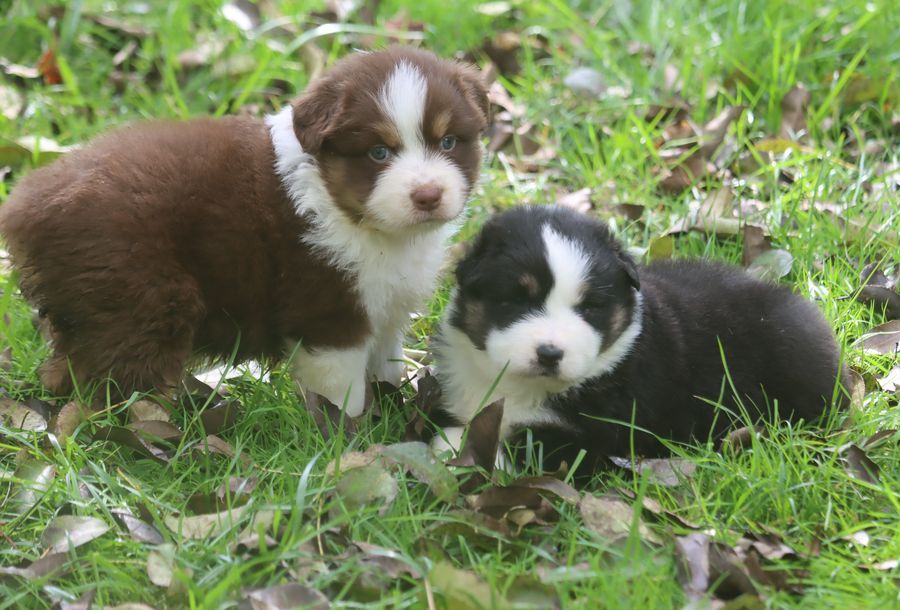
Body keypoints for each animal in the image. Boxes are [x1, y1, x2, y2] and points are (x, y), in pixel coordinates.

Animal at [0, 47, 488, 414]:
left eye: (448, 142)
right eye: (379, 152)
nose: (427, 195)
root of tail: (27, 205)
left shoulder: (386, 307)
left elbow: (385, 362)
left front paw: (393, 410)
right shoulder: (329, 312)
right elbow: (340, 391)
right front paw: (346, 442)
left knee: (67, 374)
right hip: (141, 297)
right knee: (114, 384)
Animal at [432, 204, 848, 470]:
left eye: (590, 307)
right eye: (516, 300)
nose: (550, 353)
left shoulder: (599, 437)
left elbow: (526, 447)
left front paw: (453, 448)